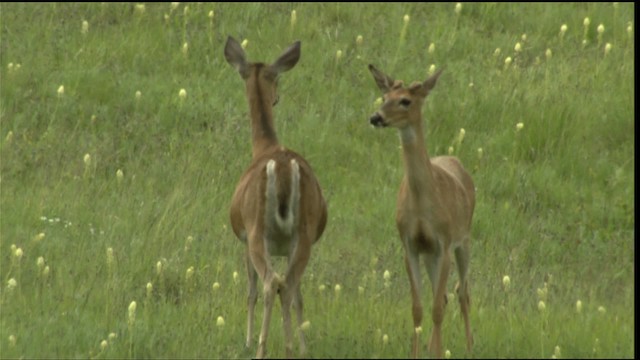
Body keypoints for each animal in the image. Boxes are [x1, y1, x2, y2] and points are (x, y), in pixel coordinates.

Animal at [224, 35, 324, 358]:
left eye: (276, 77)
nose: (277, 96)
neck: (264, 146)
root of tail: (281, 168)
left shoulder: (243, 237)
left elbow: (250, 292)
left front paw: (246, 340)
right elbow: (300, 295)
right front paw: (302, 344)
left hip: (258, 229)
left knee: (271, 283)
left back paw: (261, 347)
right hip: (303, 232)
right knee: (289, 285)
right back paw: (294, 347)